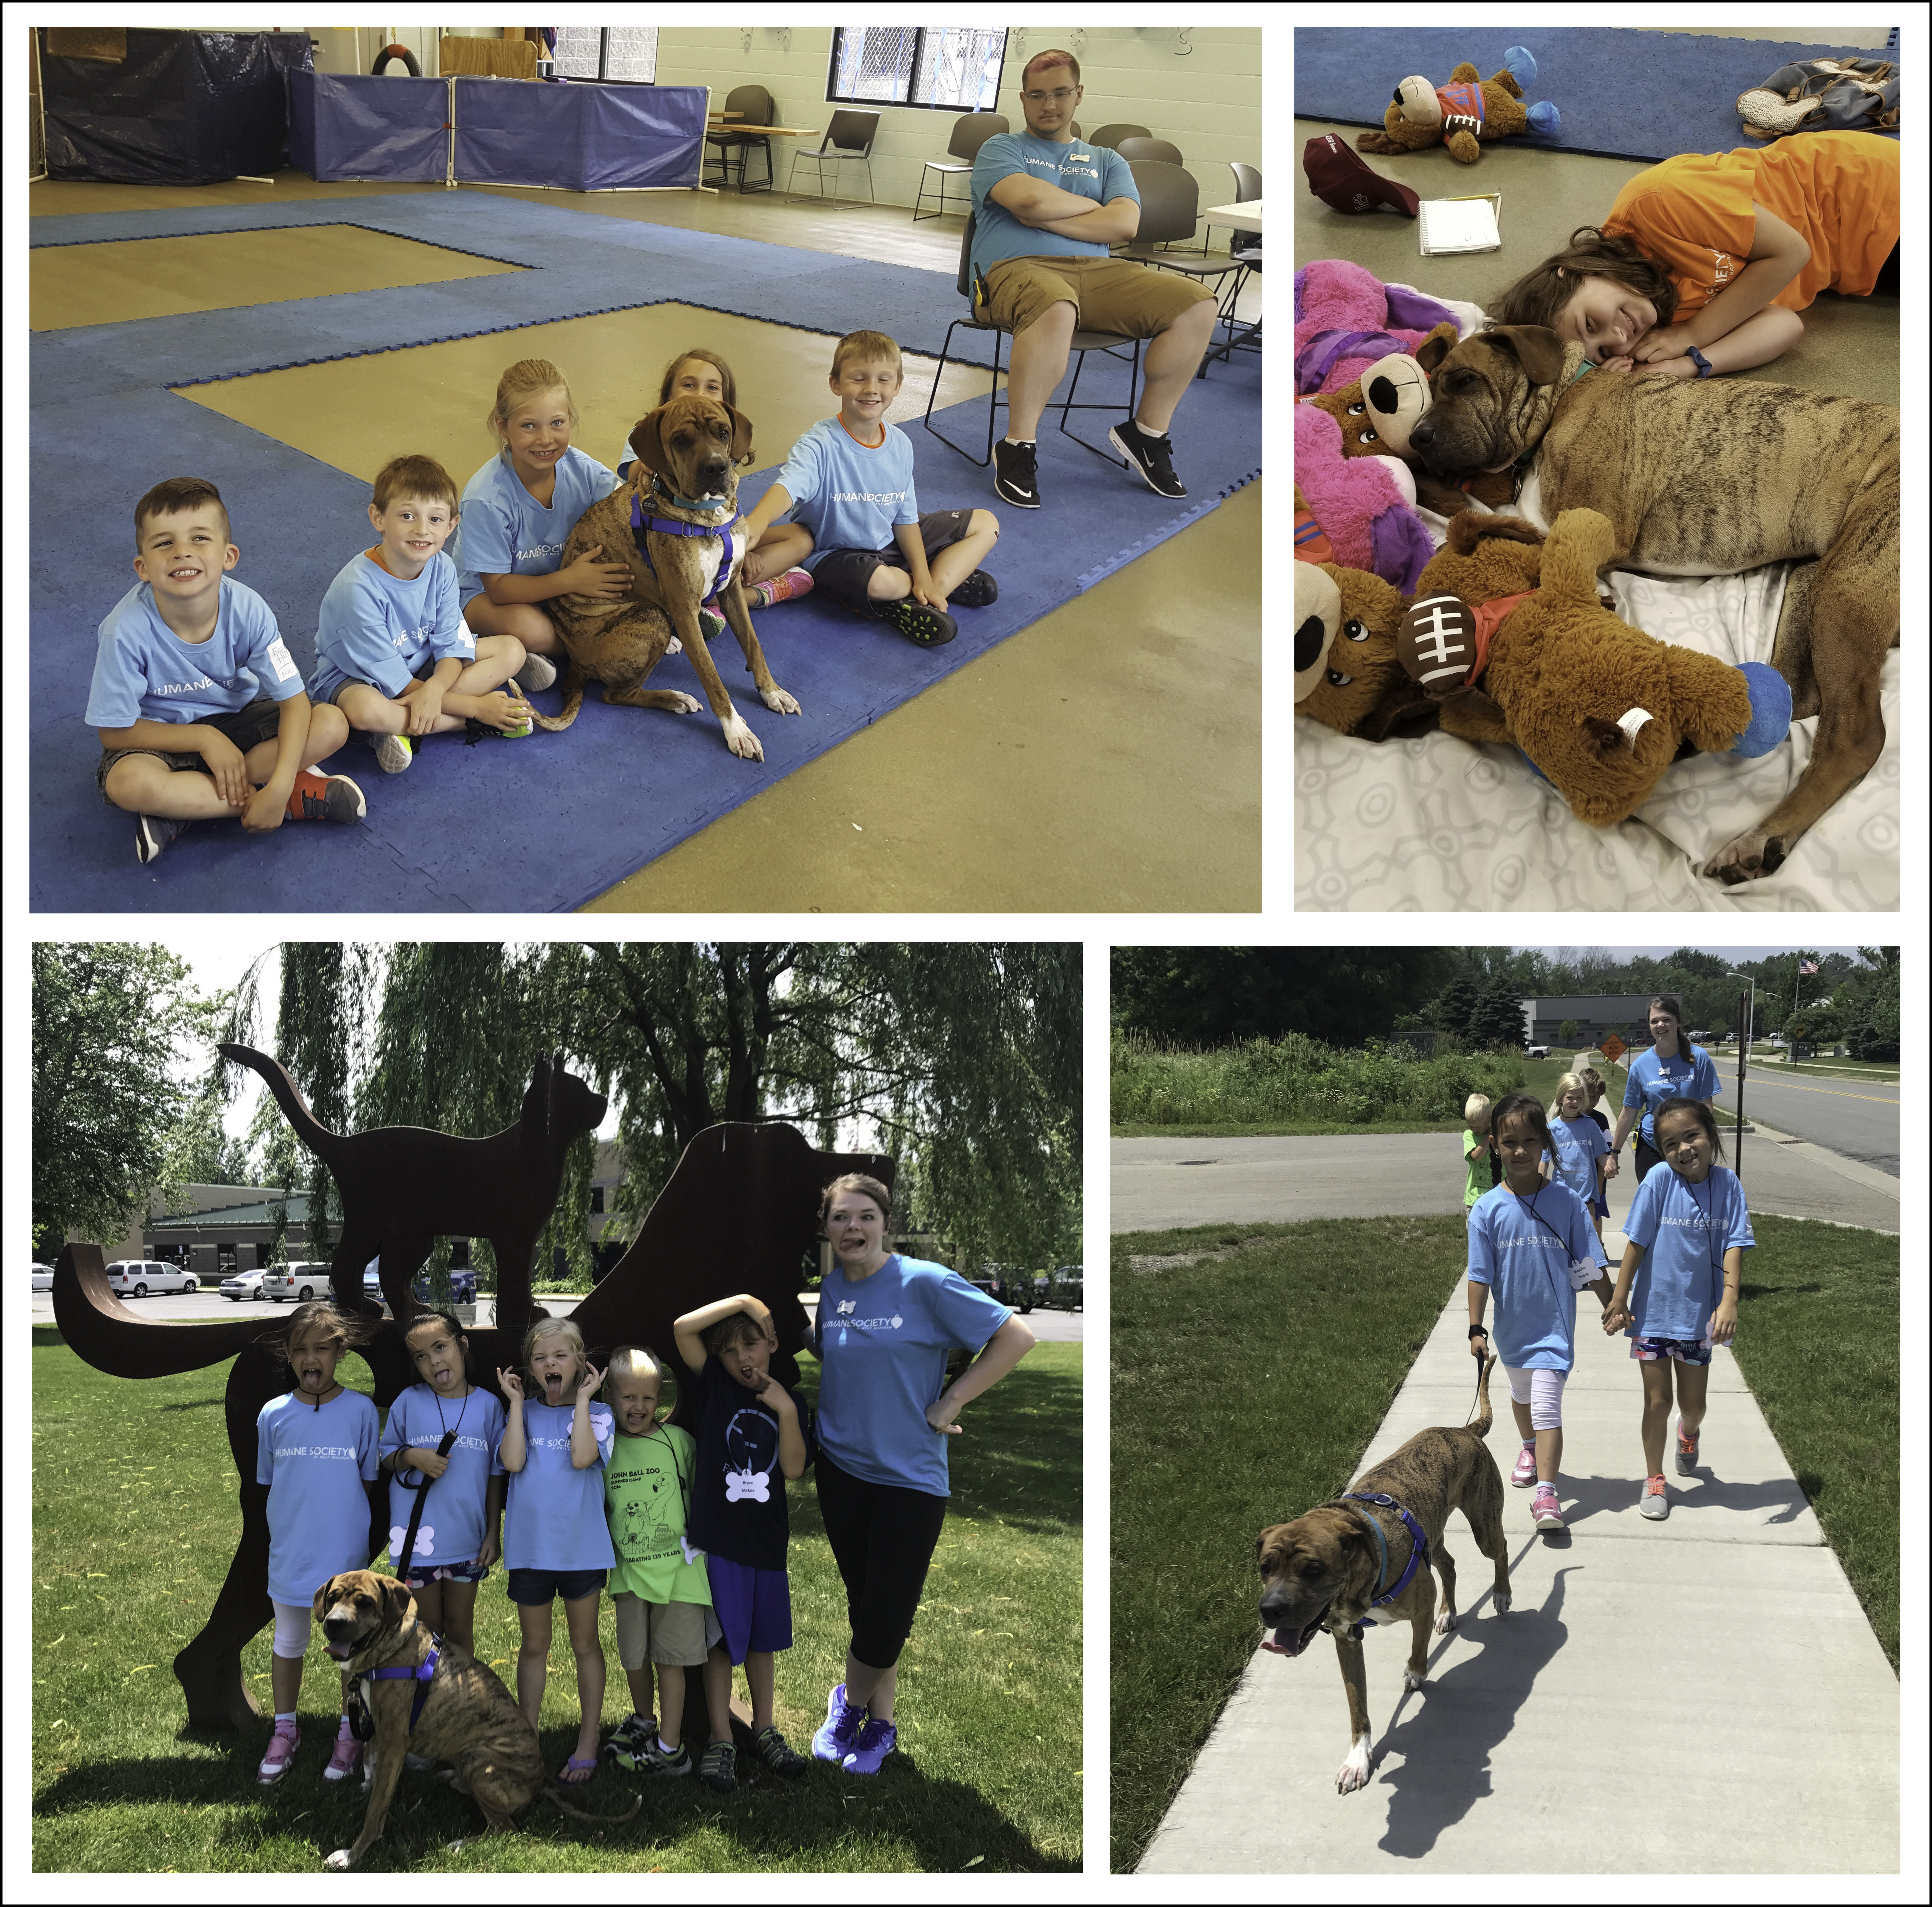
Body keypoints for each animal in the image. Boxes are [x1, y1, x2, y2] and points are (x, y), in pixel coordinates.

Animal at [537, 392, 800, 757]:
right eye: (680, 441)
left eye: (723, 433)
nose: (716, 467)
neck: (708, 515)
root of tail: (575, 661)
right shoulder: (685, 607)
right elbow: (712, 678)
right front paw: (736, 730)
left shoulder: (731, 588)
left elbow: (753, 644)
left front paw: (771, 692)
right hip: (652, 618)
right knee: (615, 694)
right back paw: (675, 698)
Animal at [1260, 1360, 1514, 1793]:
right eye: (1264, 1567)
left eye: (1314, 1569)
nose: (1270, 1610)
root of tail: (1464, 1429)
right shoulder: (1346, 1639)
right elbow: (1356, 1706)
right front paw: (1357, 1758)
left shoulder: (1418, 1607)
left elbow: (1417, 1650)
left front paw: (1415, 1672)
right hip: (1436, 1531)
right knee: (1449, 1564)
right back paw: (1449, 1612)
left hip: (1483, 1522)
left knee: (1500, 1550)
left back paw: (1500, 1594)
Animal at [1414, 328, 1893, 889]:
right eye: (1429, 386)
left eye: (1465, 380)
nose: (1417, 438)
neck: (1563, 398)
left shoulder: (1589, 526)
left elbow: (1481, 519)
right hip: (1811, 582)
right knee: (1799, 696)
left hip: (1848, 590)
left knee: (1854, 736)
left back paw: (1761, 839)